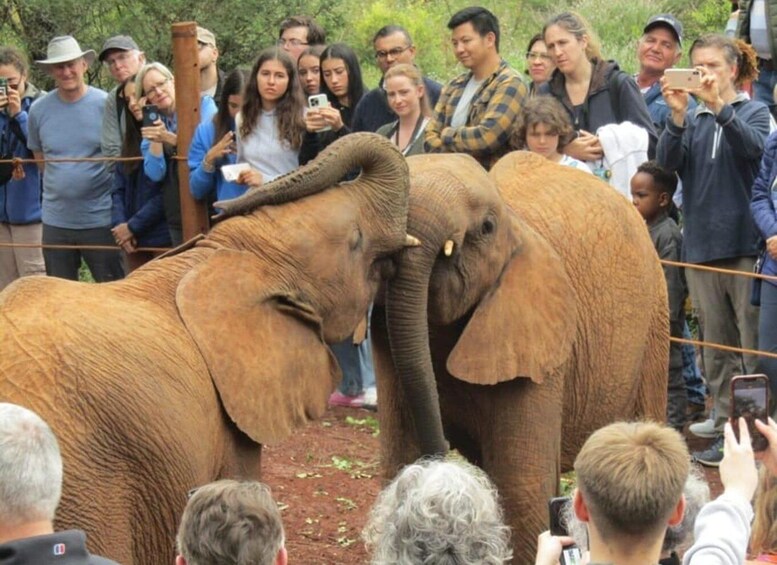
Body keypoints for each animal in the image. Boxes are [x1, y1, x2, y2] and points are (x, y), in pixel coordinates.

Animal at [371, 150, 668, 563]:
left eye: (486, 227)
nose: (442, 457)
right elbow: (400, 459)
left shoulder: (539, 346)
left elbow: (523, 491)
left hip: (657, 314)